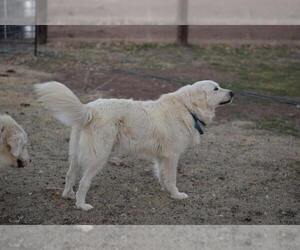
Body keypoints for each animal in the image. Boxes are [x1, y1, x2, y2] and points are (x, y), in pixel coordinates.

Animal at [34, 80, 233, 211]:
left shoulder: (162, 157)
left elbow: (162, 175)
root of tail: (89, 109)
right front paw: (176, 195)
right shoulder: (172, 156)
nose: (232, 93)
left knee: (70, 174)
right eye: (216, 88)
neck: (188, 108)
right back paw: (82, 205)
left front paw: (165, 189)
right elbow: (172, 178)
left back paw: (67, 195)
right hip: (99, 157)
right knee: (83, 182)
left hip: (76, 153)